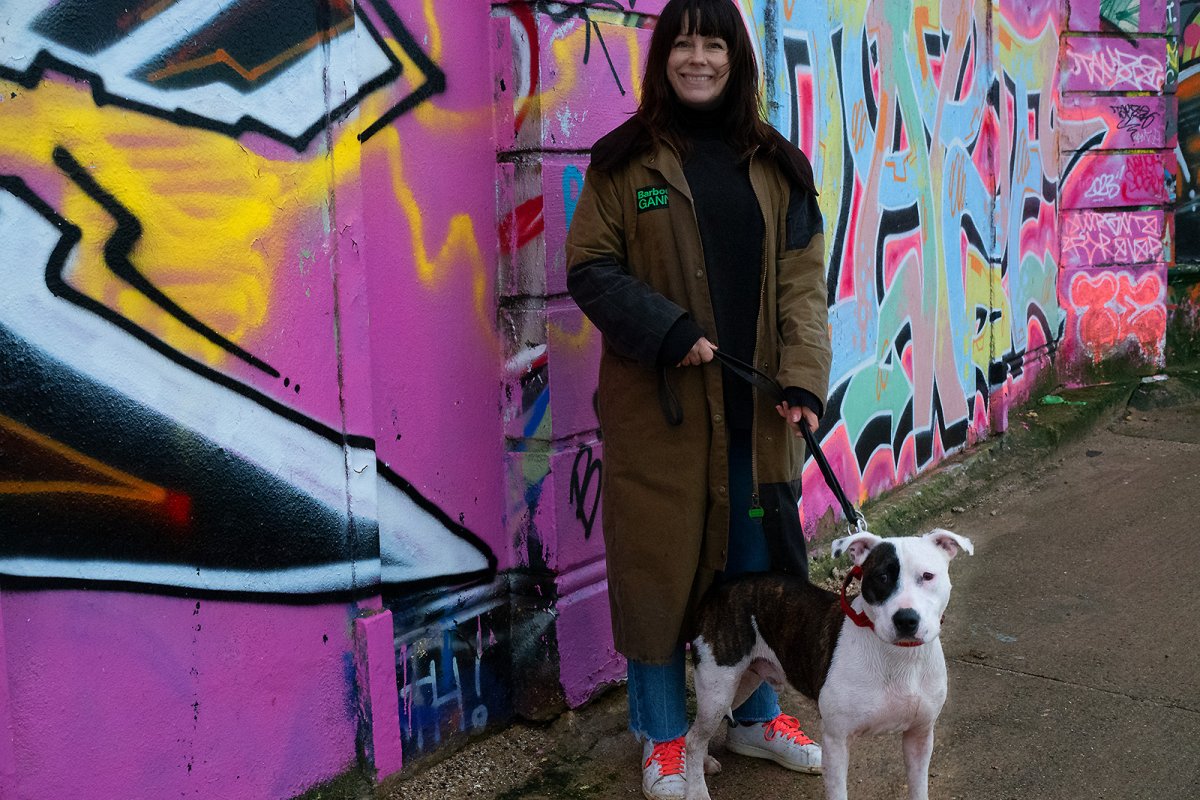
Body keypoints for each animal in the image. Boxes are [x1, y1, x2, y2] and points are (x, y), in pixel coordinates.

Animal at [683, 528, 974, 800]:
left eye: (927, 576)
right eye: (882, 577)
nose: (905, 619)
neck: (899, 657)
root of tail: (719, 589)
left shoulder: (920, 735)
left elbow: (918, 788)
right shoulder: (836, 741)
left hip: (741, 684)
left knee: (697, 732)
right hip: (718, 687)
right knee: (694, 738)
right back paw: (696, 789)